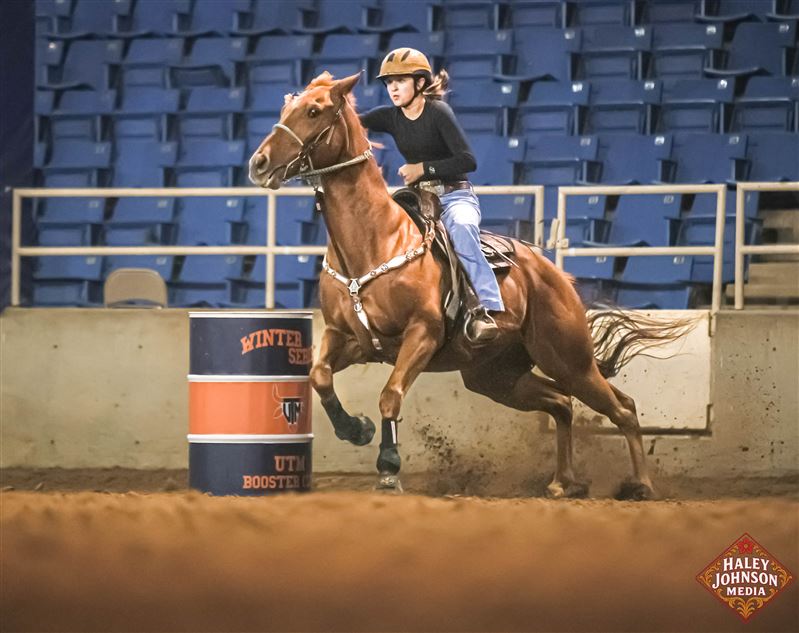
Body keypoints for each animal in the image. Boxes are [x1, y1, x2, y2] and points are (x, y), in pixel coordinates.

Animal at [248, 72, 694, 500]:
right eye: (287, 107)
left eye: (314, 111)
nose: (258, 163)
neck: (375, 239)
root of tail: (555, 277)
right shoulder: (348, 337)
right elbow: (319, 376)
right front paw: (355, 429)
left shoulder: (422, 334)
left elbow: (390, 394)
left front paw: (389, 468)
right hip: (496, 377)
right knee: (562, 404)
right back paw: (563, 482)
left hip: (569, 361)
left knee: (622, 408)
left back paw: (641, 486)